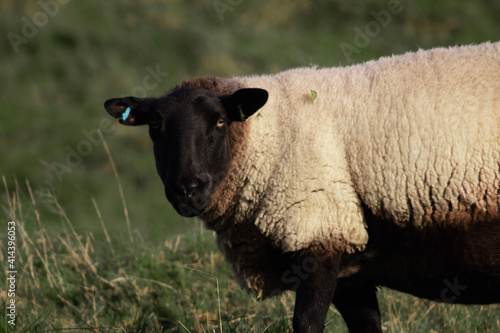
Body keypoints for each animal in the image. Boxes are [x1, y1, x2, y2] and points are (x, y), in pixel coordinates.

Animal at [104, 42, 500, 332]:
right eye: (155, 127)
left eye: (219, 122)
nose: (187, 188)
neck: (268, 139)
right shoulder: (351, 263)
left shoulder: (319, 234)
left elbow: (306, 324)